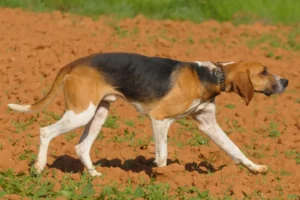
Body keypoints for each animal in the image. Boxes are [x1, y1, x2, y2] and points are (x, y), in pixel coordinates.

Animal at [7, 52, 288, 176]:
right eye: (264, 72)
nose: (285, 81)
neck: (212, 75)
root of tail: (75, 63)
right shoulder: (160, 119)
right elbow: (162, 156)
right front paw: (159, 176)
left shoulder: (209, 124)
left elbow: (235, 149)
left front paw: (255, 168)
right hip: (81, 113)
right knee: (45, 131)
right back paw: (39, 167)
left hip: (99, 113)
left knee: (81, 147)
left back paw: (96, 177)